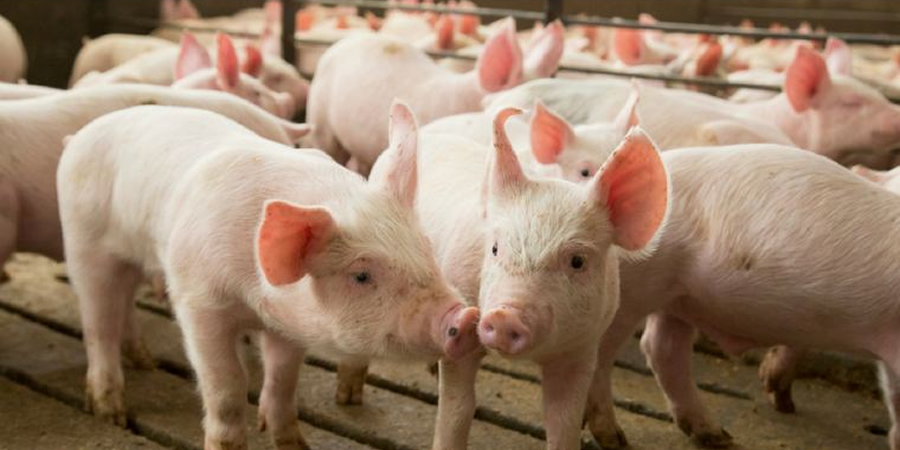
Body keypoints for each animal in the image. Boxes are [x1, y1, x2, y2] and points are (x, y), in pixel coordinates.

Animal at [57, 103, 480, 449]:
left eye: (425, 245)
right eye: (361, 275)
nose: (466, 316)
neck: (252, 299)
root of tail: (78, 137)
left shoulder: (287, 320)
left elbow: (283, 378)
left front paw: (294, 444)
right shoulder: (198, 303)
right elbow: (227, 385)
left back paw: (142, 361)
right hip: (84, 243)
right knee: (99, 323)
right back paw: (109, 411)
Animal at [366, 110, 669, 450]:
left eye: (577, 261)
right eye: (496, 248)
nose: (504, 316)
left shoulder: (582, 349)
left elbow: (563, 422)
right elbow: (458, 408)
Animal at [583, 144, 900, 450]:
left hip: (676, 294)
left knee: (662, 348)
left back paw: (715, 436)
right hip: (633, 289)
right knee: (604, 354)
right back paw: (614, 439)